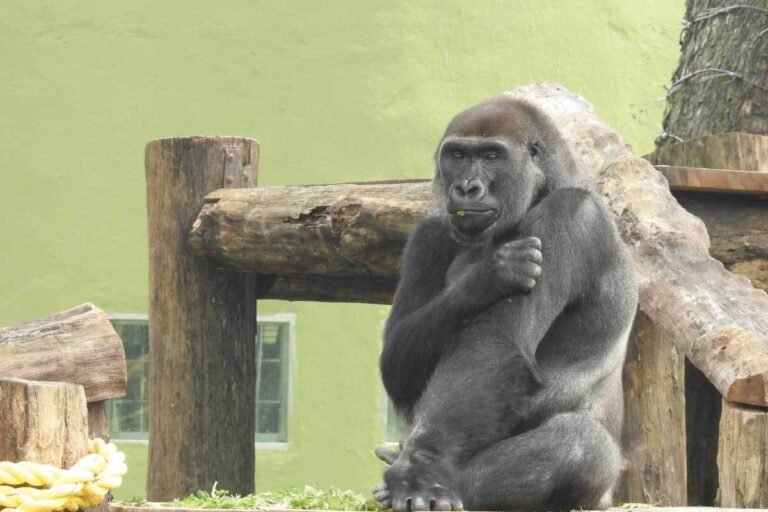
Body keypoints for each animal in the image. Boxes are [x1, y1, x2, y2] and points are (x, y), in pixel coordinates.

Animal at [373, 95, 637, 511]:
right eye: (458, 155)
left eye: (492, 156)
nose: (467, 187)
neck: (549, 184)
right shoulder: (430, 230)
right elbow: (397, 364)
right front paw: (486, 277)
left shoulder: (572, 214)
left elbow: (495, 341)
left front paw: (422, 469)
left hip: (600, 497)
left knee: (580, 443)